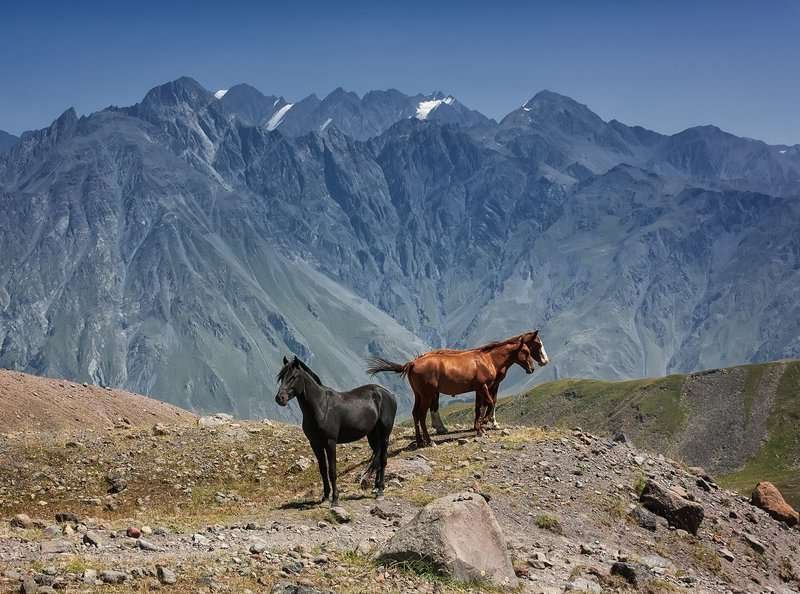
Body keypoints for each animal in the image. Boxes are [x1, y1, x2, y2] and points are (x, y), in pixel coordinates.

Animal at [275, 356, 397, 506]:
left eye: (294, 377)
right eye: (281, 377)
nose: (280, 398)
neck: (321, 407)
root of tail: (389, 394)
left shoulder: (330, 442)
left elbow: (332, 471)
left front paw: (335, 499)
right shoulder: (315, 444)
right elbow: (323, 470)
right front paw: (325, 496)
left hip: (385, 434)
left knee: (384, 459)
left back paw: (380, 491)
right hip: (373, 435)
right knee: (378, 458)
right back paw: (375, 488)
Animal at [367, 331, 549, 447]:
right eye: (528, 349)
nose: (534, 367)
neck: (488, 359)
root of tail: (413, 362)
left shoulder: (479, 389)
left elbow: (479, 407)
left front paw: (479, 428)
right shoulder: (484, 387)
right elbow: (490, 403)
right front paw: (485, 424)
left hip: (419, 395)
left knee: (415, 414)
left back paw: (420, 440)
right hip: (427, 395)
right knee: (422, 414)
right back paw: (429, 440)